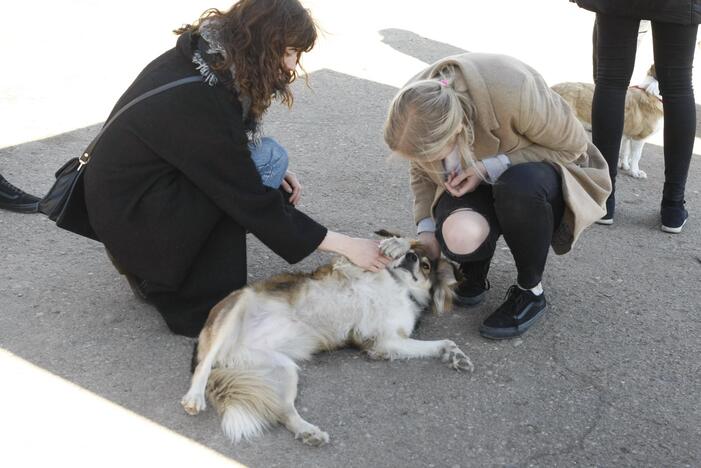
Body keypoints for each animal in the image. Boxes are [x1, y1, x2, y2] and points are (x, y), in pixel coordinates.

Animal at [179, 234, 470, 446]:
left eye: (426, 266)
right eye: (413, 259)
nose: (409, 258)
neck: (398, 285)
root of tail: (227, 359)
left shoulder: (385, 342)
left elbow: (442, 342)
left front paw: (456, 355)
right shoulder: (352, 266)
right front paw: (397, 243)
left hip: (283, 369)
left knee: (284, 412)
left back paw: (308, 431)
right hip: (238, 307)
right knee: (203, 366)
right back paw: (195, 396)